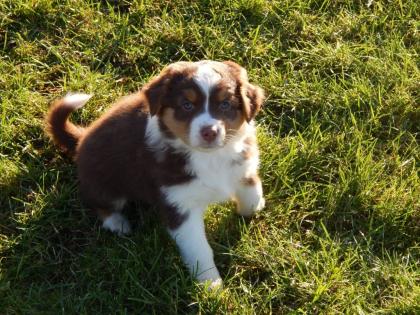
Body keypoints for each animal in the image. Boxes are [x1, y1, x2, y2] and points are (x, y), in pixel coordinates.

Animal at [46, 60, 266, 290]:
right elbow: (199, 249)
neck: (209, 157)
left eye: (225, 104)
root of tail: (81, 139)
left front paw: (255, 206)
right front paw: (210, 284)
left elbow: (252, 191)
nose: (209, 132)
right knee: (95, 201)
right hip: (105, 184)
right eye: (186, 105)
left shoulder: (242, 166)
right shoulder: (179, 205)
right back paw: (117, 223)